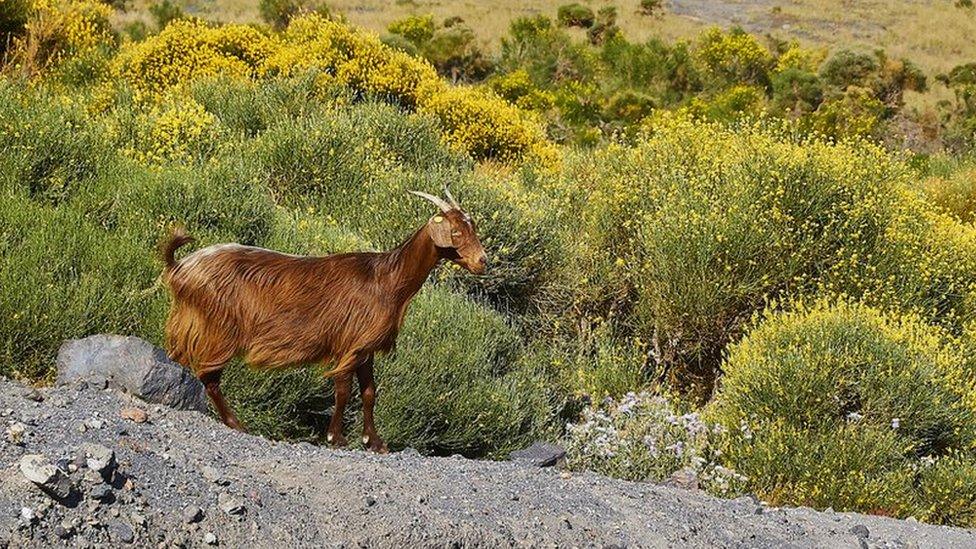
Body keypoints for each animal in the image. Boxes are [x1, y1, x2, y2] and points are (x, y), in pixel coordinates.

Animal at [160, 188, 488, 450]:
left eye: (472, 228)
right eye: (456, 232)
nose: (482, 261)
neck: (387, 280)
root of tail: (180, 267)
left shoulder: (365, 347)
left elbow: (369, 392)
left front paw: (374, 442)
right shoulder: (349, 342)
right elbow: (343, 390)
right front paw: (336, 437)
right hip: (218, 327)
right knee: (209, 375)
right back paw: (235, 423)